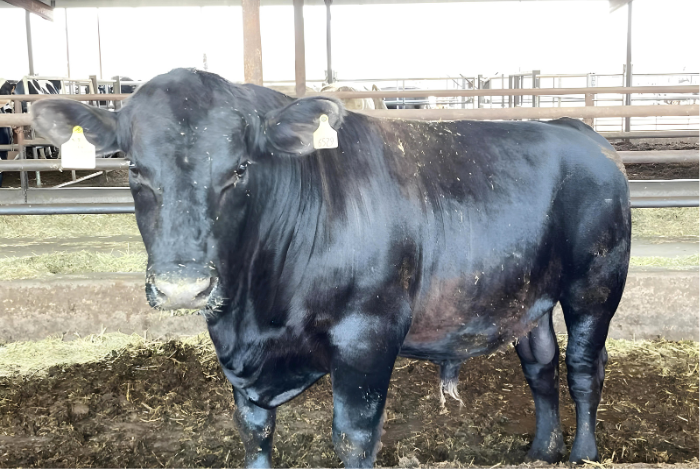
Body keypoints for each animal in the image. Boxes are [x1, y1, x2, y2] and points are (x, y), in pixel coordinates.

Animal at [32, 68, 630, 468]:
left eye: (240, 168)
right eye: (135, 168)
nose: (183, 286)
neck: (254, 317)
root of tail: (577, 129)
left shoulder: (368, 340)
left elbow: (354, 438)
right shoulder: (242, 370)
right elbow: (254, 433)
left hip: (595, 285)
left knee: (583, 368)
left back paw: (582, 454)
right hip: (531, 293)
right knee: (540, 364)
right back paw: (540, 450)